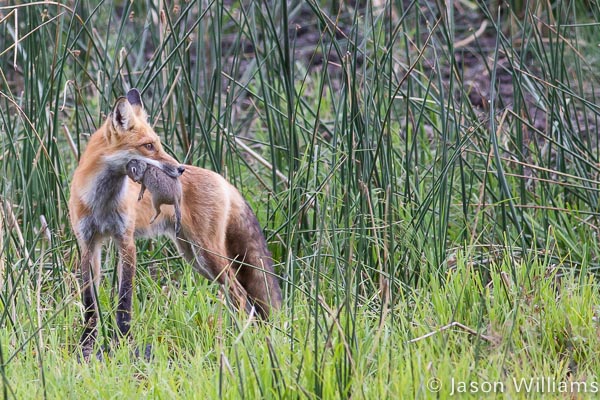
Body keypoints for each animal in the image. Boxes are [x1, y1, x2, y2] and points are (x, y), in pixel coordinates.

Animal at [68, 90, 284, 360]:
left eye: (158, 144)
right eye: (148, 146)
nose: (180, 168)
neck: (101, 203)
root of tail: (223, 179)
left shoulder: (126, 241)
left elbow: (125, 300)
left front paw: (124, 342)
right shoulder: (88, 243)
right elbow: (89, 303)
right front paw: (86, 345)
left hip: (208, 255)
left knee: (241, 295)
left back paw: (242, 338)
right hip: (194, 257)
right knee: (238, 296)